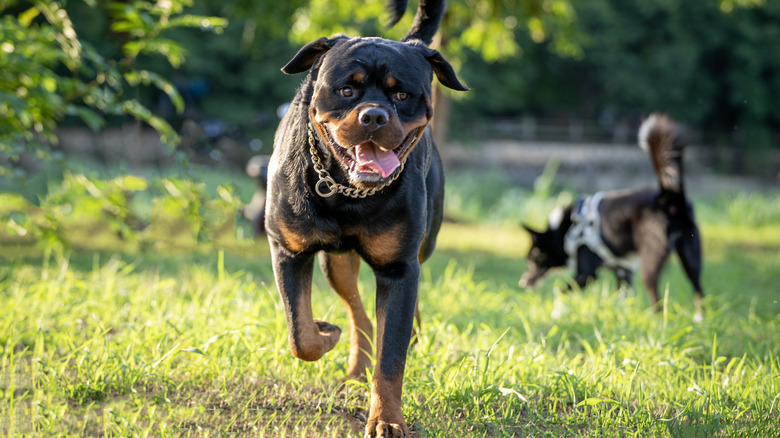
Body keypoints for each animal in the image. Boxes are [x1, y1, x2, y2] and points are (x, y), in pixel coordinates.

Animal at [264, 0, 470, 434]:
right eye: (346, 90)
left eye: (402, 94)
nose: (373, 116)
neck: (348, 194)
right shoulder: (288, 250)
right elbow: (300, 333)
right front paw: (324, 334)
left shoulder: (399, 268)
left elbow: (391, 360)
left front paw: (387, 420)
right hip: (336, 262)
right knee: (359, 315)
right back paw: (354, 367)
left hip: (420, 246)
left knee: (390, 316)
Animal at [516, 113, 708, 318]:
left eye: (534, 257)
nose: (523, 282)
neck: (567, 228)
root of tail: (669, 195)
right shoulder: (623, 271)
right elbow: (621, 298)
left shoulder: (587, 274)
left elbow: (560, 291)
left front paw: (557, 313)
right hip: (690, 256)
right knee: (698, 289)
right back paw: (699, 318)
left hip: (651, 261)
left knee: (656, 295)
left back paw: (655, 319)